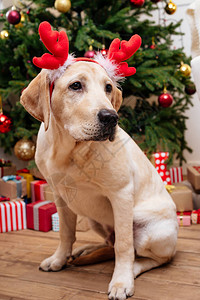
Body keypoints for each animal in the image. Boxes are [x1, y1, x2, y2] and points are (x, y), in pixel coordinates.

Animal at [19, 22, 178, 300]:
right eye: (75, 86)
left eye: (108, 88)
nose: (111, 117)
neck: (70, 150)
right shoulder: (60, 195)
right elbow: (66, 233)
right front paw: (59, 259)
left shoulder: (121, 195)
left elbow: (124, 246)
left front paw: (121, 281)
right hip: (93, 217)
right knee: (108, 243)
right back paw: (85, 252)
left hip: (150, 232)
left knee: (148, 255)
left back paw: (132, 269)